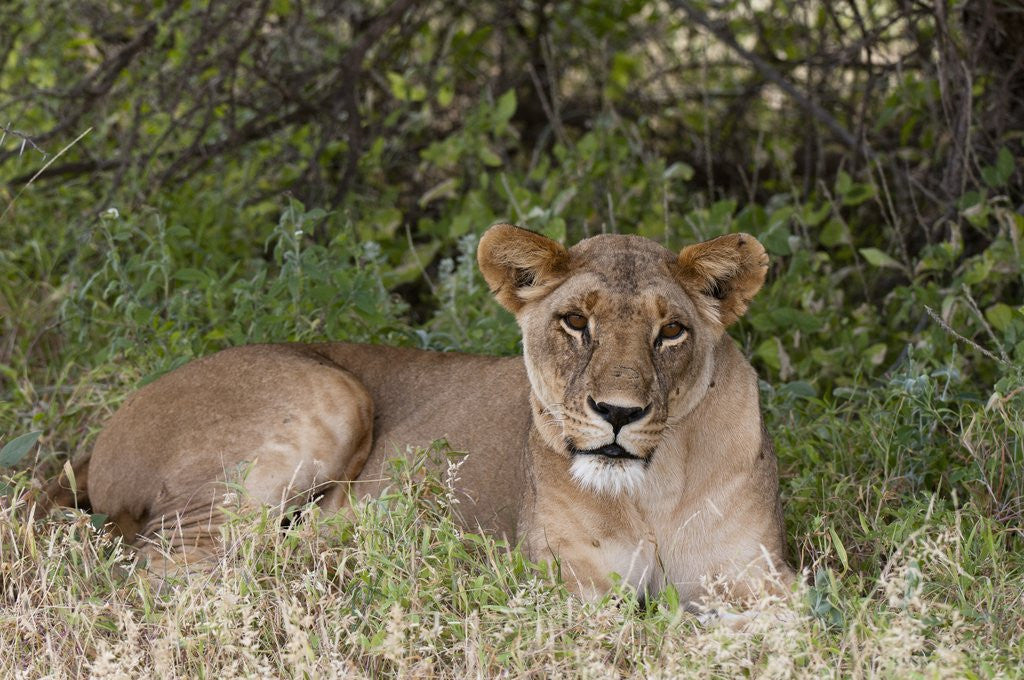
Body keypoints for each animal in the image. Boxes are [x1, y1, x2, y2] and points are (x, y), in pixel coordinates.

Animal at [43, 224, 791, 605]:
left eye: (672, 333)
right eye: (576, 322)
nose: (617, 413)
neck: (651, 491)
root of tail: (100, 438)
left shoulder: (759, 579)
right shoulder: (568, 584)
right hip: (331, 395)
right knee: (175, 563)